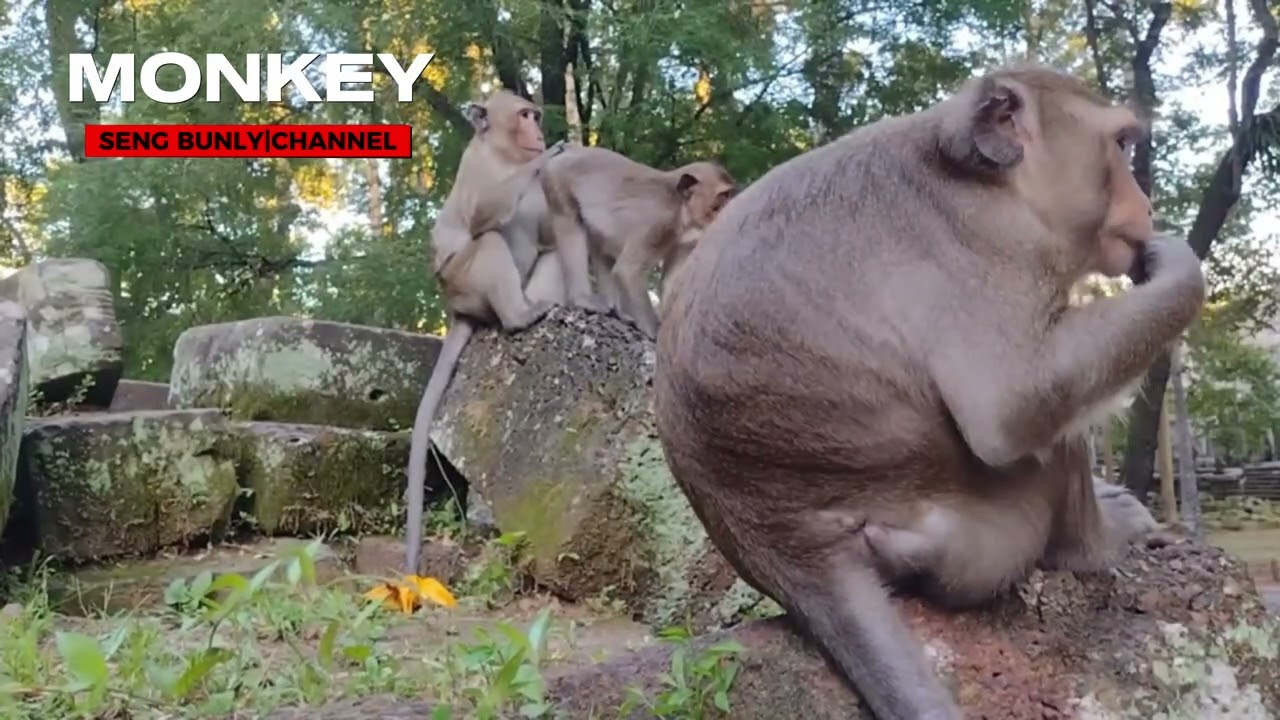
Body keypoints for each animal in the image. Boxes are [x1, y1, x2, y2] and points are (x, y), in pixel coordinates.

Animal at [404, 90, 568, 576]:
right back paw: (517, 318)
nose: (539, 131)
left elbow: (549, 233)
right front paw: (550, 158)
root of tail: (458, 309)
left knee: (550, 253)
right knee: (490, 241)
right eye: (524, 115)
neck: (503, 154)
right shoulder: (477, 168)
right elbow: (481, 215)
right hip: (467, 281)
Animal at [539, 146, 738, 339]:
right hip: (556, 179)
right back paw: (581, 298)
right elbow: (627, 271)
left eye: (729, 195)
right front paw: (655, 334)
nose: (728, 208)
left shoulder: (683, 241)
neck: (679, 209)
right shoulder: (656, 223)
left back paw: (617, 312)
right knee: (569, 222)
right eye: (722, 197)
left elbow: (670, 283)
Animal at [652, 63, 1205, 720]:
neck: (987, 181)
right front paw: (1181, 267)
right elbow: (1008, 409)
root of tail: (777, 542)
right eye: (1120, 144)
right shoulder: (993, 250)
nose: (1146, 202)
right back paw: (1093, 544)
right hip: (998, 517)